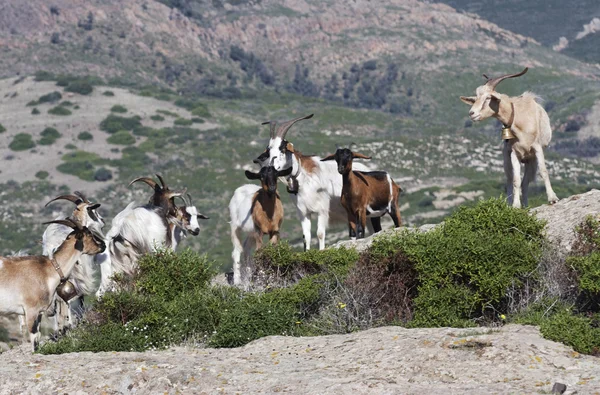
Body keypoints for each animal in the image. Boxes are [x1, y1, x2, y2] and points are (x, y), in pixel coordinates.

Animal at [0, 220, 104, 352]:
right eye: (89, 234)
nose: (103, 245)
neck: (48, 270)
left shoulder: (39, 313)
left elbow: (38, 336)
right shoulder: (30, 310)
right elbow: (34, 337)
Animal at [255, 114, 378, 251]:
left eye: (282, 149)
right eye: (269, 150)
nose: (271, 166)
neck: (304, 179)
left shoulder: (322, 210)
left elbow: (320, 233)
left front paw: (321, 251)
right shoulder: (303, 212)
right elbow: (306, 236)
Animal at [462, 67, 560, 210]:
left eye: (488, 97)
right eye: (476, 99)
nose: (472, 113)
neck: (519, 119)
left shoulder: (536, 148)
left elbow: (543, 171)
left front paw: (552, 198)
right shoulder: (514, 153)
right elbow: (515, 180)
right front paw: (515, 206)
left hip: (530, 161)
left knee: (526, 182)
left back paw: (526, 205)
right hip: (506, 158)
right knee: (510, 180)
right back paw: (511, 205)